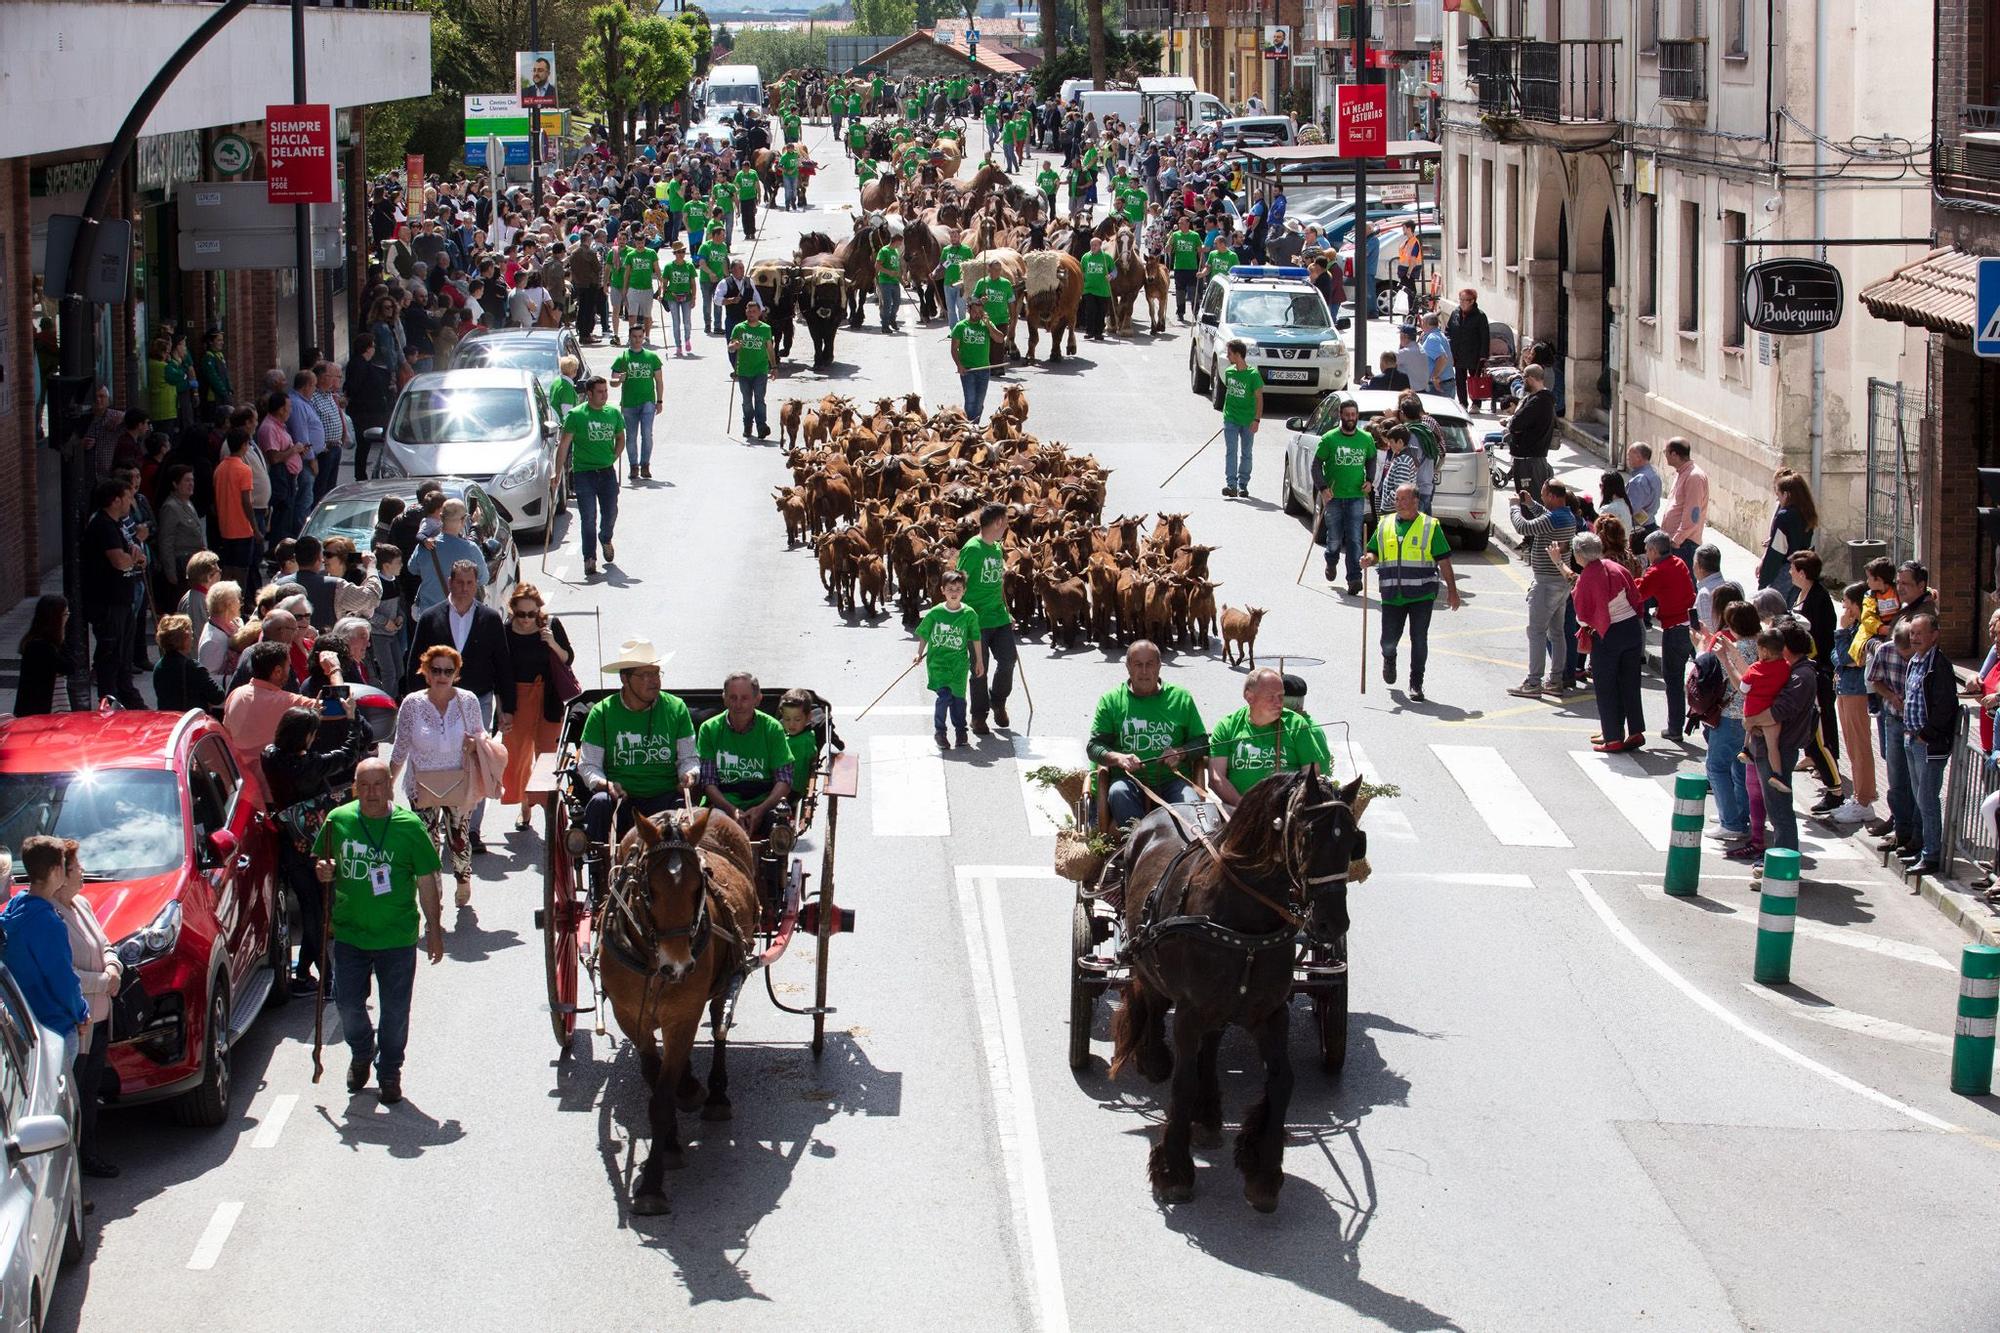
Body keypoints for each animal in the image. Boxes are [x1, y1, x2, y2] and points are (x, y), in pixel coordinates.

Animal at [600, 804, 756, 1208]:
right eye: (648, 890)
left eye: (699, 886)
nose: (679, 967)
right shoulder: (630, 1017)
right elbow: (654, 1080)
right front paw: (669, 1142)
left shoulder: (684, 1015)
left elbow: (662, 1095)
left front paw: (653, 1183)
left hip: (722, 979)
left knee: (718, 1022)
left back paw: (715, 1094)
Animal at [1104, 764, 1368, 1208]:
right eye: (1307, 835)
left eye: (1353, 840)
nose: (1333, 923)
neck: (1243, 923)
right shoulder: (1190, 1011)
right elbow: (1182, 1082)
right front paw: (1174, 1172)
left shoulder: (1270, 1012)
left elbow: (1282, 1080)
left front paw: (1263, 1171)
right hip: (1148, 959)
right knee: (1153, 1003)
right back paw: (1154, 1060)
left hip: (1222, 1005)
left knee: (1210, 1047)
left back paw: (1210, 1116)